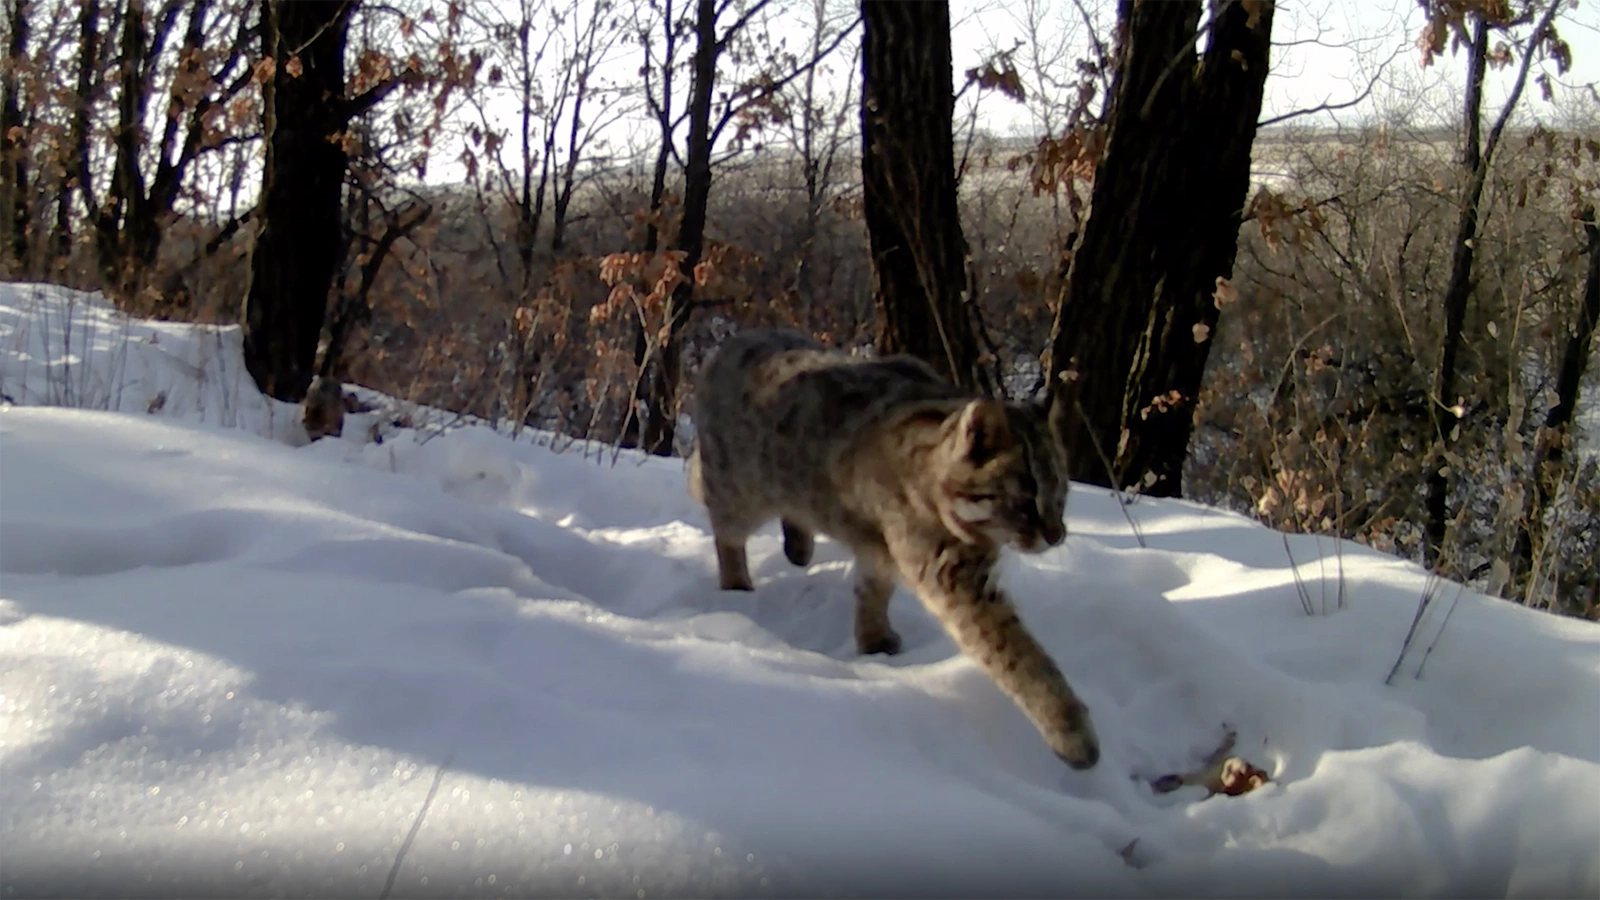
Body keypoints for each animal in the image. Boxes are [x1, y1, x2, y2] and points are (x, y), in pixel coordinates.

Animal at [688, 328, 1100, 762]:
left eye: (1061, 495)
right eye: (1026, 500)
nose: (1056, 535)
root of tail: (733, 341)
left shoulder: (885, 549)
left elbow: (873, 589)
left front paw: (873, 638)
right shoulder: (953, 576)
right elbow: (1018, 654)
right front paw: (1070, 730)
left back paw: (799, 546)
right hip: (740, 491)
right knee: (726, 532)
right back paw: (736, 585)